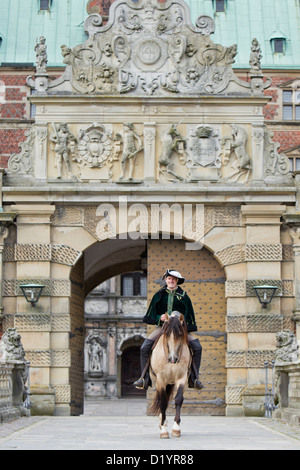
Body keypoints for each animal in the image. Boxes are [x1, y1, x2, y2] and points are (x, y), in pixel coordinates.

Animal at [149, 310, 191, 438]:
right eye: (167, 334)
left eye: (181, 334)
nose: (173, 359)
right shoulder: (161, 380)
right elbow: (162, 402)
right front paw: (163, 429)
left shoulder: (182, 378)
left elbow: (178, 399)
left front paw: (176, 428)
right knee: (161, 400)